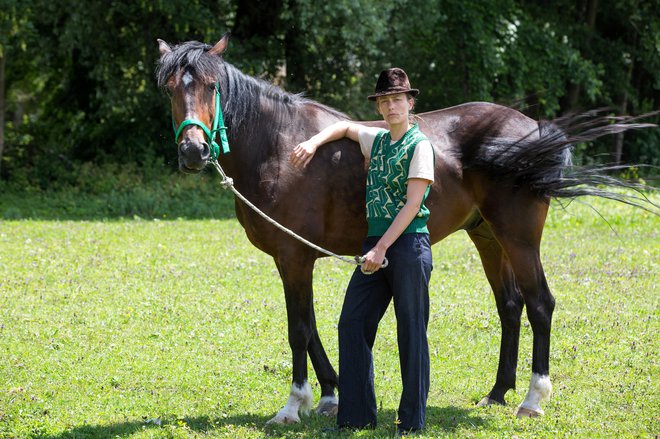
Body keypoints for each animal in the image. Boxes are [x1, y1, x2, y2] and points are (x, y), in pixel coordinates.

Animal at [156, 35, 656, 426]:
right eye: (169, 88)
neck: (279, 145)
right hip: (487, 237)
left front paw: (293, 406)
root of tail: (534, 129)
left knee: (540, 305)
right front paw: (330, 395)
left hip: (518, 238)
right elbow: (311, 326)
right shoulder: (295, 257)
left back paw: (532, 400)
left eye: (213, 86)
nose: (194, 151)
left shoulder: (294, 257)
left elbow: (298, 329)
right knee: (510, 306)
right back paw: (497, 393)